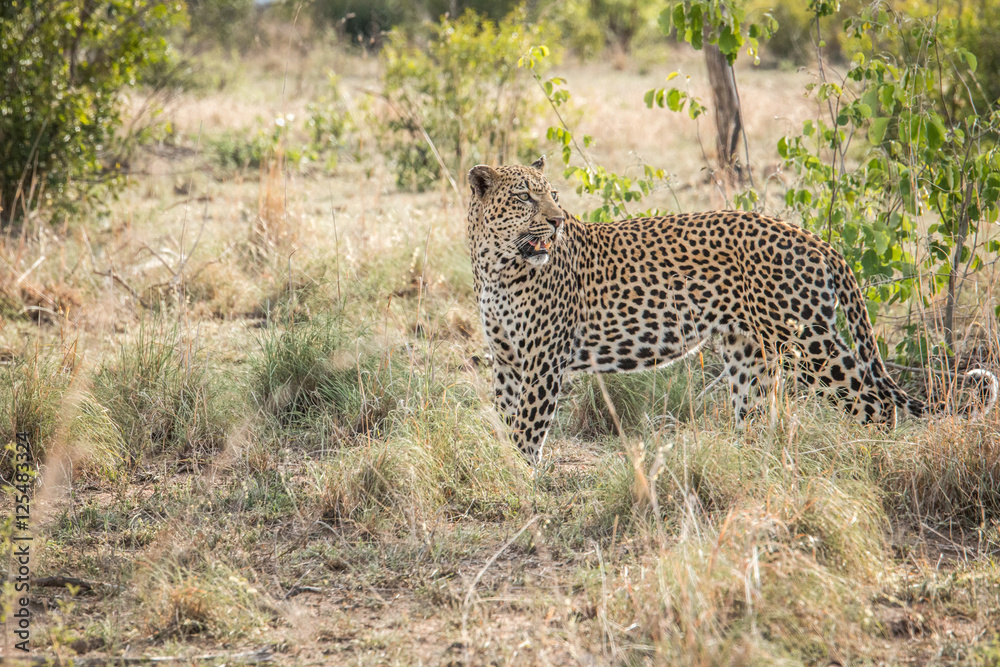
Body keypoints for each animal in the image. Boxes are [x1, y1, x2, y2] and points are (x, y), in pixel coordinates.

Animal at [467, 156, 998, 462]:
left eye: (553, 195)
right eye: (525, 196)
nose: (557, 222)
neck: (496, 263)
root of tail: (818, 241)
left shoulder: (544, 361)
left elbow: (526, 430)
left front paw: (520, 485)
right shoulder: (508, 361)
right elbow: (507, 419)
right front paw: (506, 472)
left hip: (810, 343)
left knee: (877, 403)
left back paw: (871, 460)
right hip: (752, 353)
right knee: (758, 417)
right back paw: (745, 472)